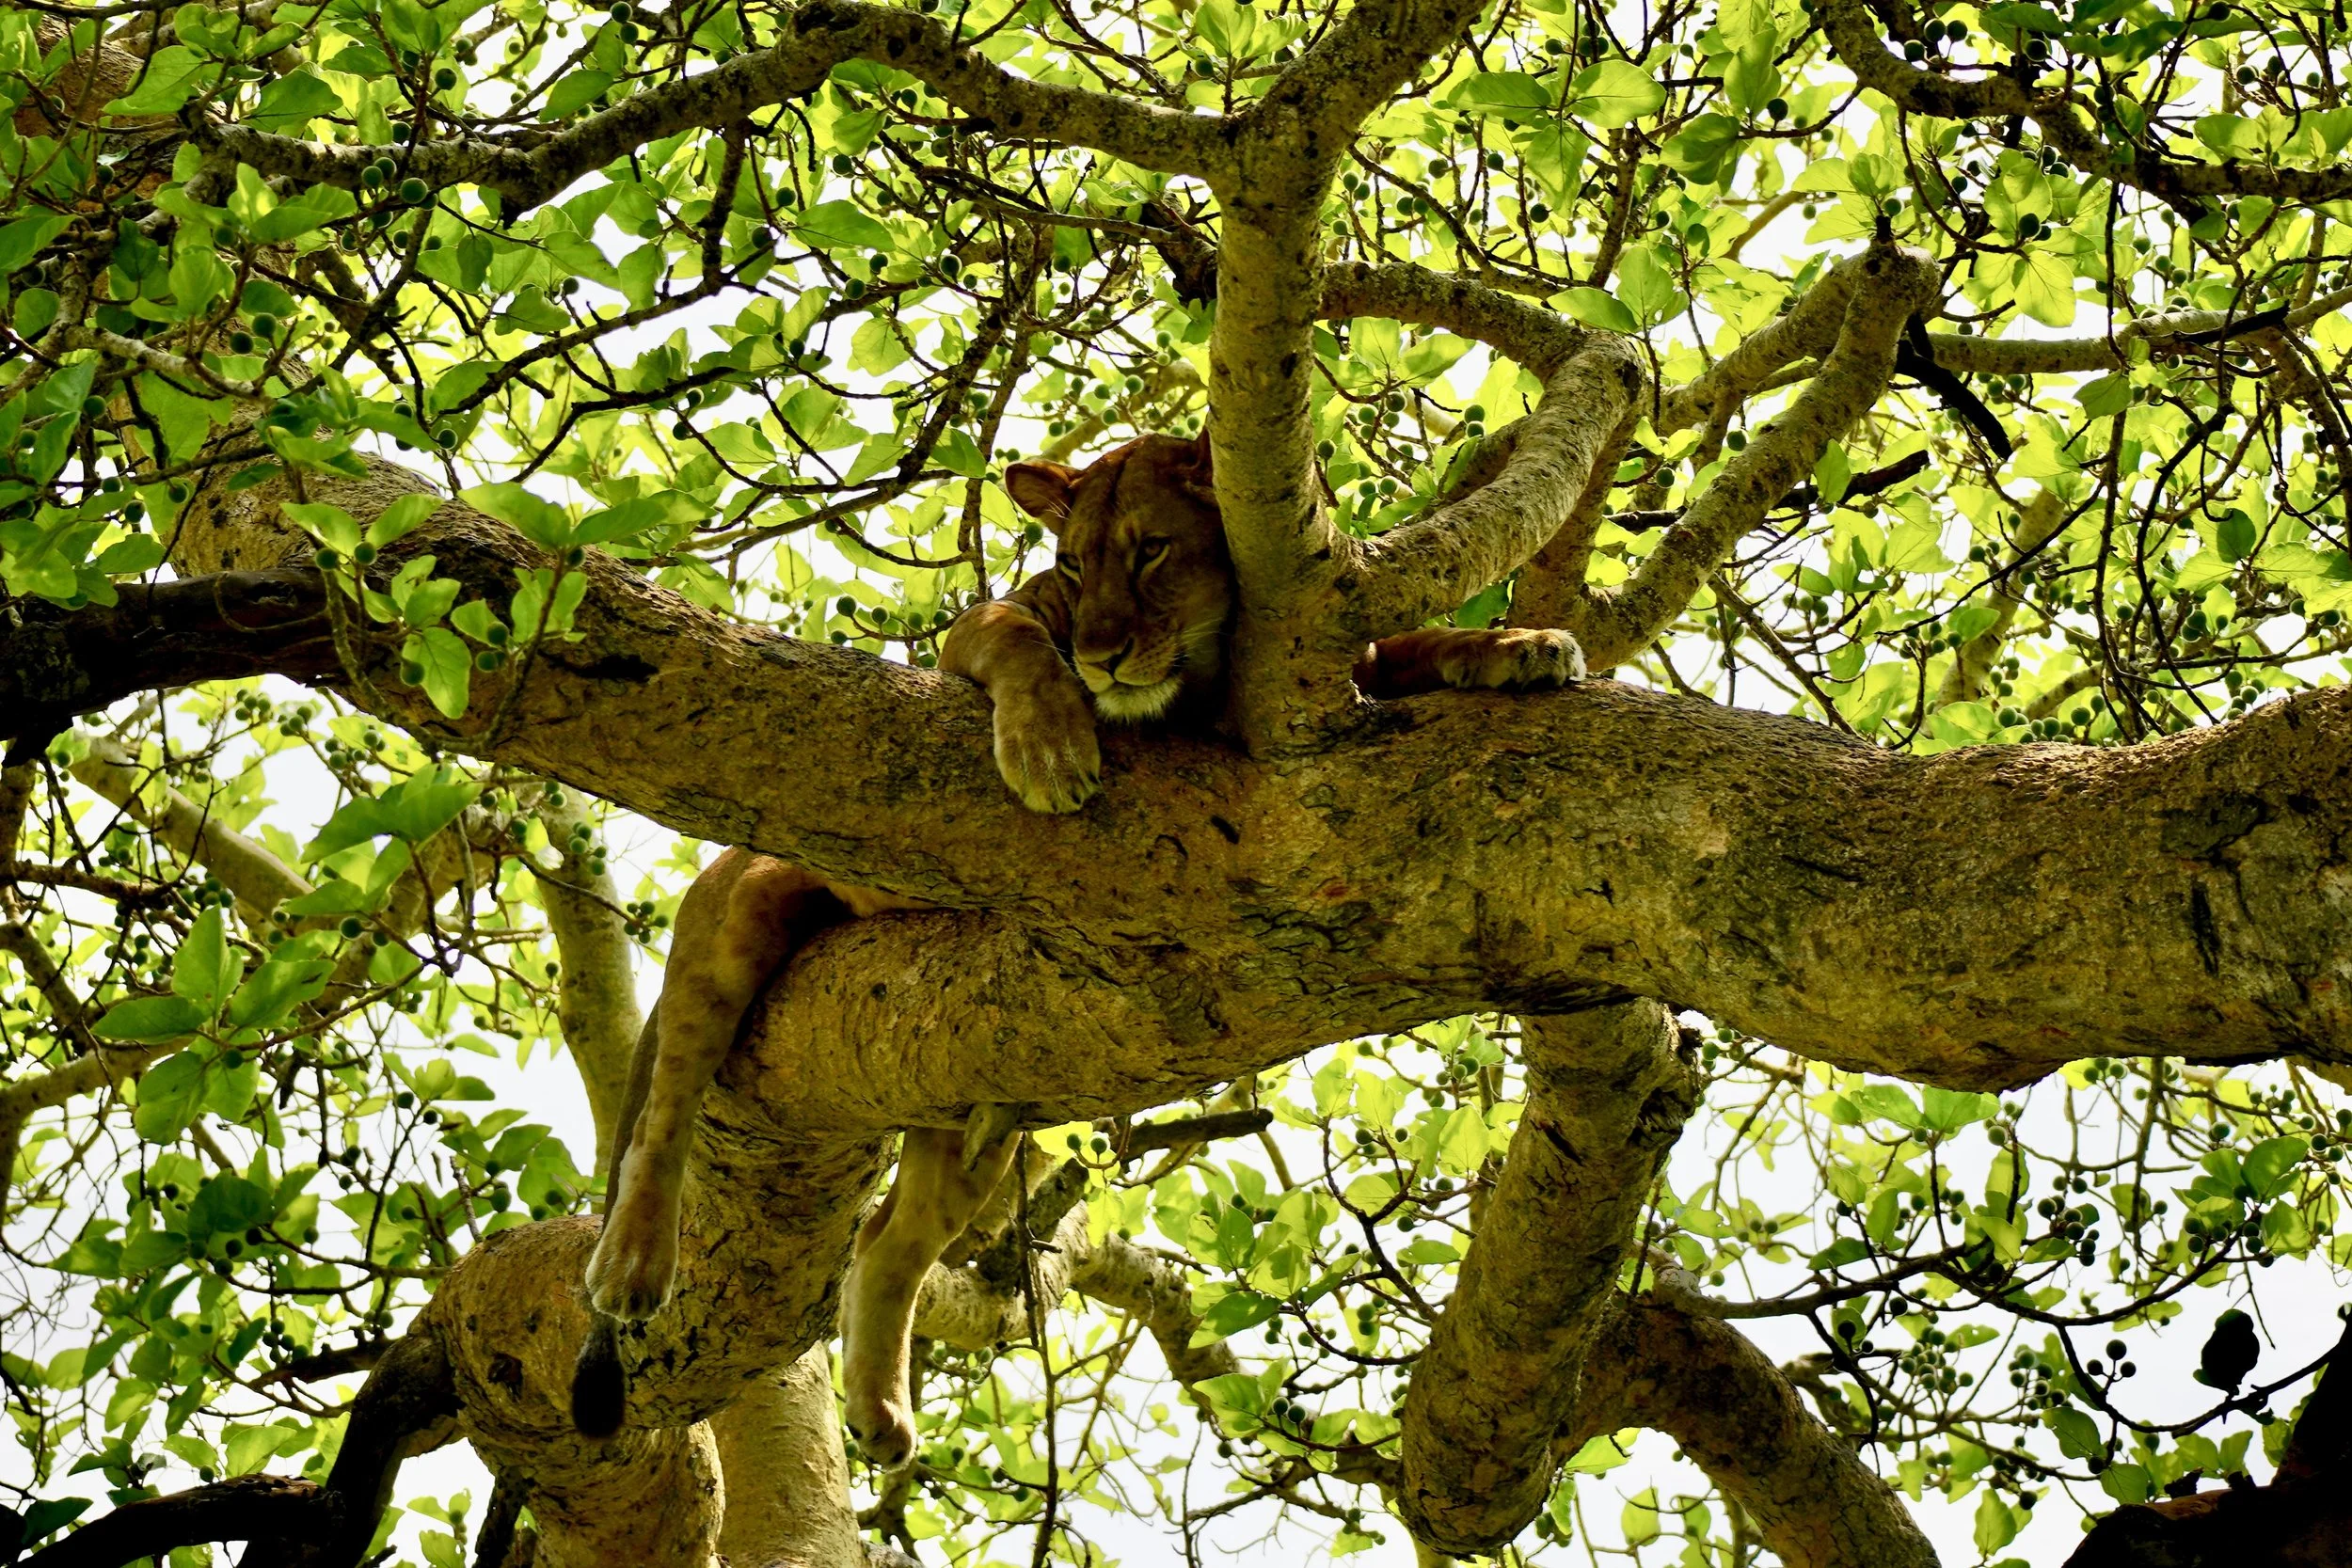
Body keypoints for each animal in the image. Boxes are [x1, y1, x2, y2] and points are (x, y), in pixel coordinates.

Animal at [570, 431, 1584, 1463]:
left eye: (1150, 552)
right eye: (1068, 566)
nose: (1100, 658)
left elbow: (1410, 645)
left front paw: (1519, 647)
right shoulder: (994, 626)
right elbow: (1014, 638)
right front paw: (1050, 750)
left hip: (966, 1112)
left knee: (887, 1241)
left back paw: (881, 1413)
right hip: (736, 923)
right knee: (664, 1112)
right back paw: (633, 1266)